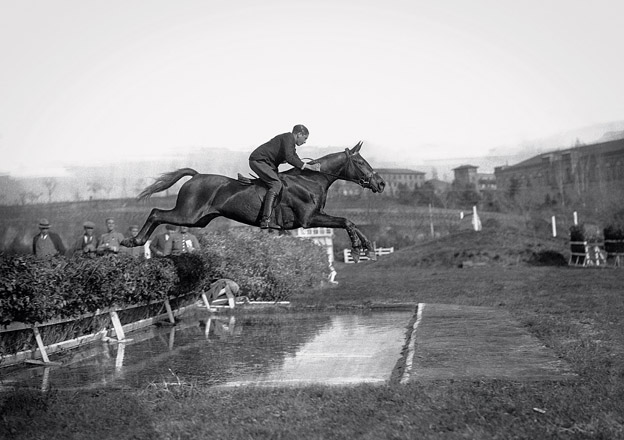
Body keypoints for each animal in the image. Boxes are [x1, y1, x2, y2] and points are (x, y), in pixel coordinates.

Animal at [122, 141, 386, 258]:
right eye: (360, 162)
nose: (381, 183)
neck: (311, 180)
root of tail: (195, 176)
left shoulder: (313, 218)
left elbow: (350, 222)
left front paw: (366, 247)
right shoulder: (309, 219)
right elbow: (346, 221)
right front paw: (358, 246)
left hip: (198, 220)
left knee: (159, 214)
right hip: (188, 215)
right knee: (156, 213)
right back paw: (133, 240)